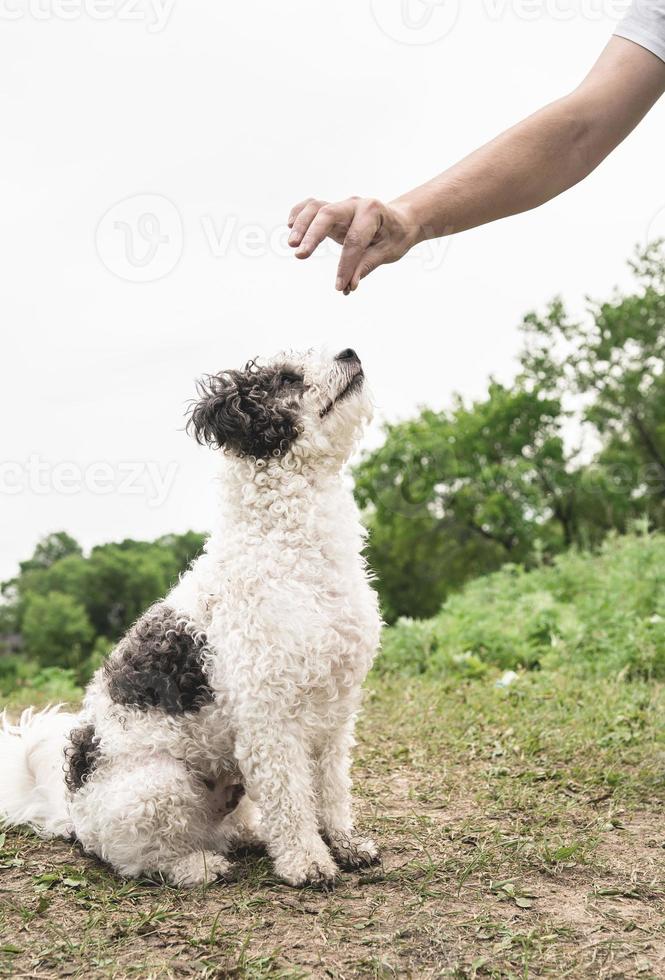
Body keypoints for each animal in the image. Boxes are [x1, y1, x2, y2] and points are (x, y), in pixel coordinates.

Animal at [0, 346, 382, 888]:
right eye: (287, 377)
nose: (349, 351)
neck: (294, 551)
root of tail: (72, 815)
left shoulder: (335, 713)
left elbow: (330, 790)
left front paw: (345, 844)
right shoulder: (269, 719)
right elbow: (290, 798)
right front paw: (307, 861)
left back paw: (247, 836)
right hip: (160, 786)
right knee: (136, 859)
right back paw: (196, 865)